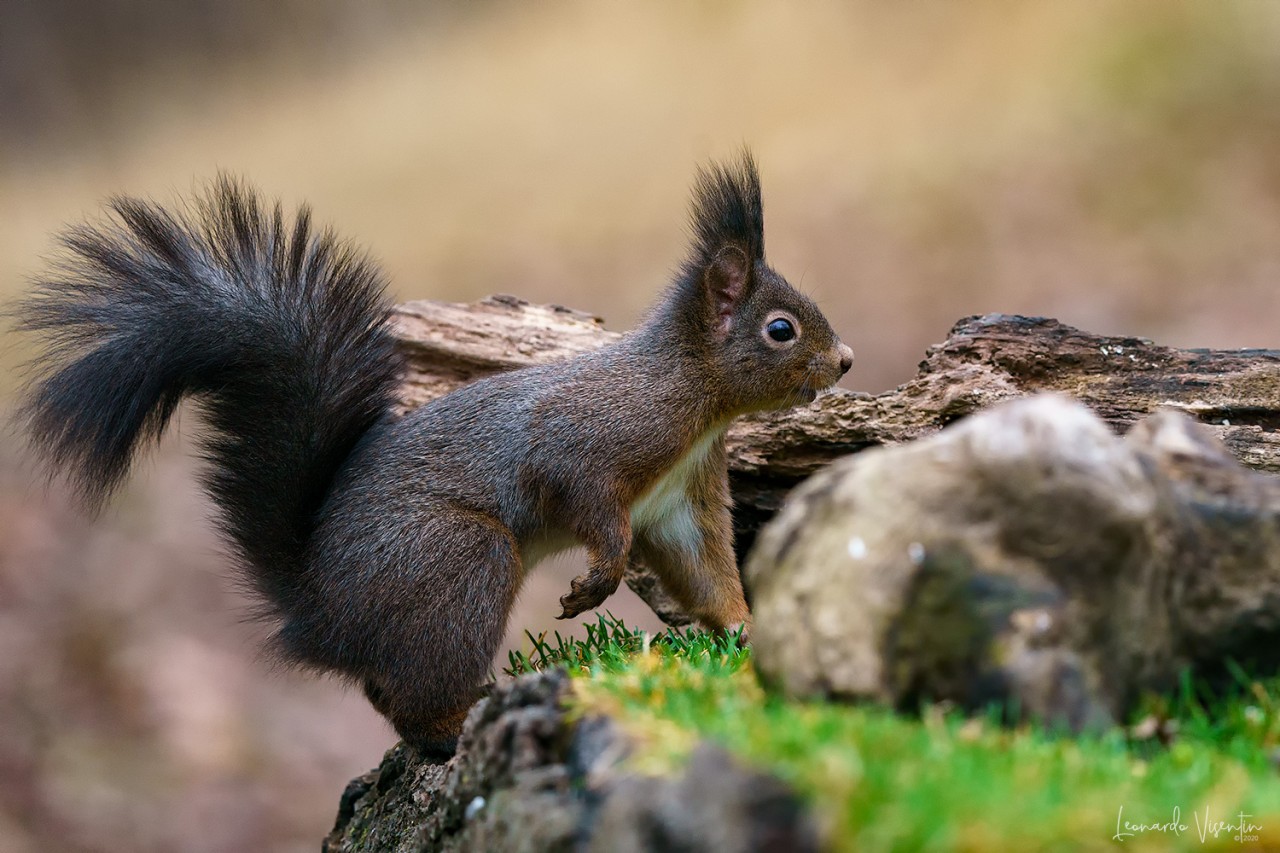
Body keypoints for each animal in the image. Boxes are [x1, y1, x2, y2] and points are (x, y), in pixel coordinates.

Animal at [15, 151, 852, 757]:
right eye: (781, 329)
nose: (844, 360)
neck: (692, 396)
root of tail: (312, 610)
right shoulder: (588, 441)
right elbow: (588, 505)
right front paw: (597, 583)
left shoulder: (679, 499)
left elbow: (704, 568)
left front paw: (743, 626)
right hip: (459, 559)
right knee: (416, 702)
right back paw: (456, 724)